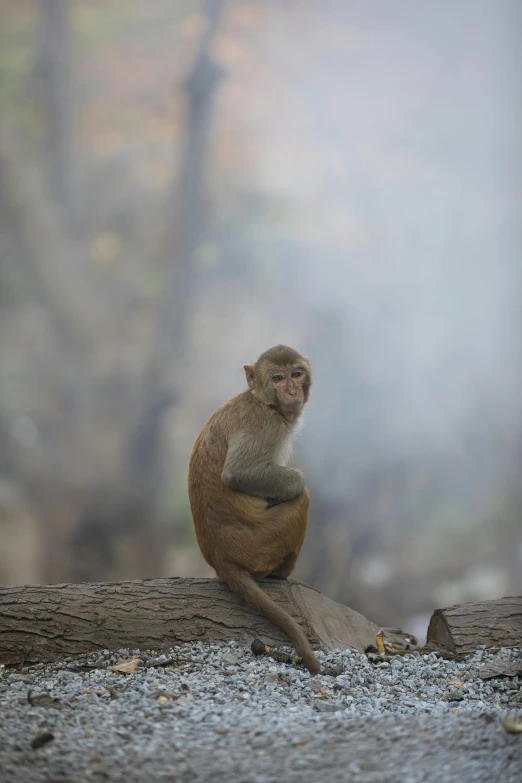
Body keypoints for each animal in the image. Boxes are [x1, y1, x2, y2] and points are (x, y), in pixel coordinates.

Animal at [187, 344, 316, 672]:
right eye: (278, 378)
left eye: (297, 374)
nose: (292, 390)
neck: (263, 401)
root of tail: (219, 558)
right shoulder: (264, 425)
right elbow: (239, 472)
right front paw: (295, 482)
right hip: (258, 545)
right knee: (302, 500)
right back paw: (281, 573)